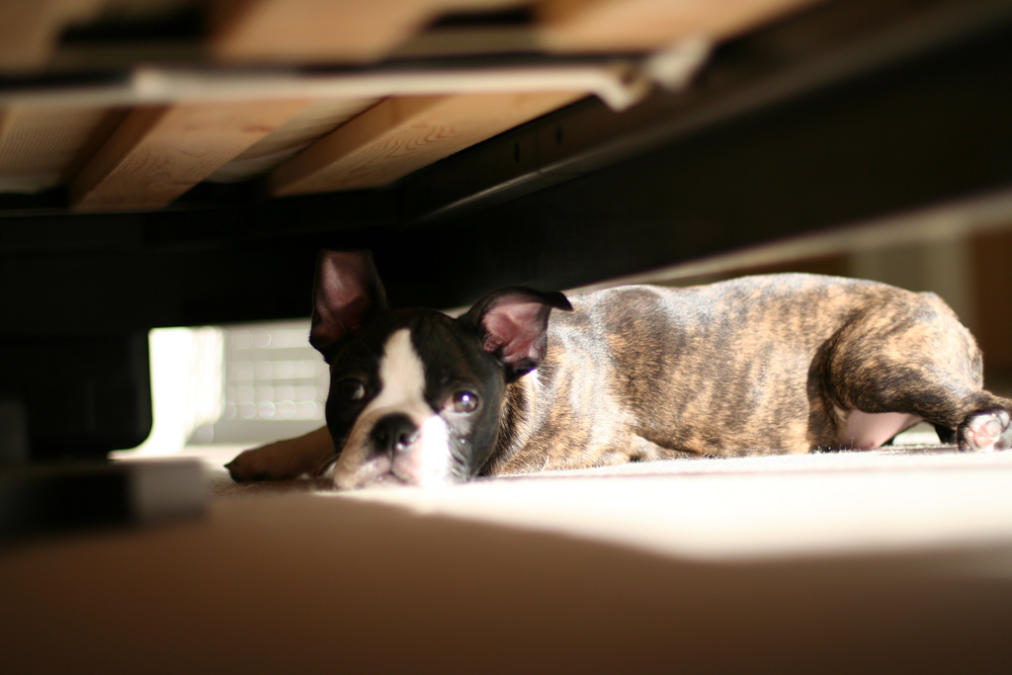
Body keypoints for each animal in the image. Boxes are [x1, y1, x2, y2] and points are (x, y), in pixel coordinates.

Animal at [226, 250, 1012, 489]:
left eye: (464, 401)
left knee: (987, 400)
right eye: (351, 392)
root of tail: (933, 301)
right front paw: (274, 456)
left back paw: (977, 431)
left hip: (862, 357)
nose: (391, 433)